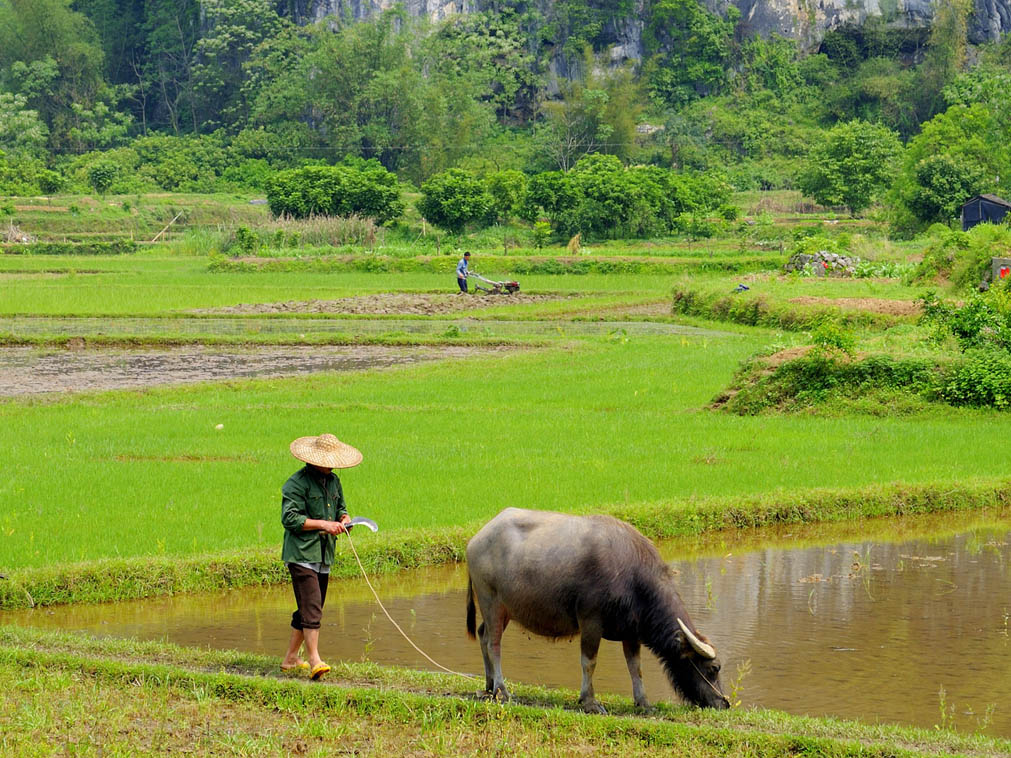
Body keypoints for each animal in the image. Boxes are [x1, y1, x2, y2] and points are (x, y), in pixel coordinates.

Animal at [465, 511, 727, 711]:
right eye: (714, 668)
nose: (724, 703)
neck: (633, 578)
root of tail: (476, 540)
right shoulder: (590, 621)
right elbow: (589, 662)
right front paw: (589, 701)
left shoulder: (631, 632)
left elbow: (636, 667)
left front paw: (643, 702)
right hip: (491, 601)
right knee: (494, 644)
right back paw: (502, 689)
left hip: (504, 610)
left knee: (483, 635)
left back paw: (488, 684)